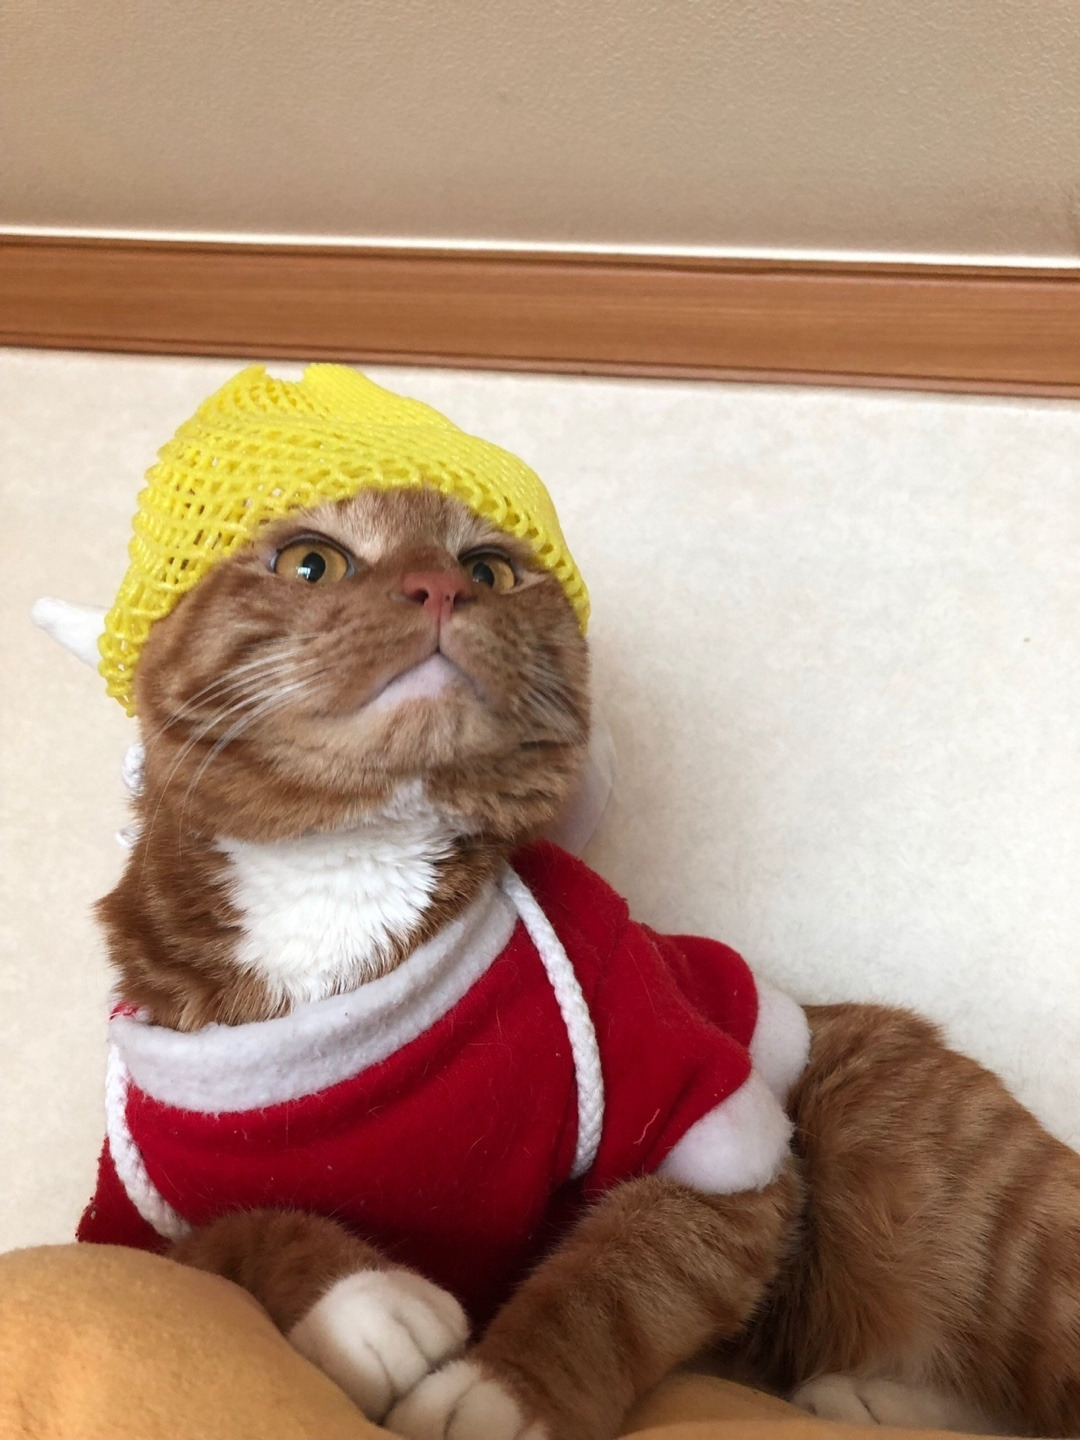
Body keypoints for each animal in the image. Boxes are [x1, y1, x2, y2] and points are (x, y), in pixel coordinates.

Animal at [78, 484, 1080, 1440]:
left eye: (485, 568)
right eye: (311, 561)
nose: (437, 588)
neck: (342, 881)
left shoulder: (716, 1140)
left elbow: (617, 1279)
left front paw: (502, 1392)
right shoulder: (135, 1226)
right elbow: (231, 1236)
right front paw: (362, 1297)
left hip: (921, 1160)